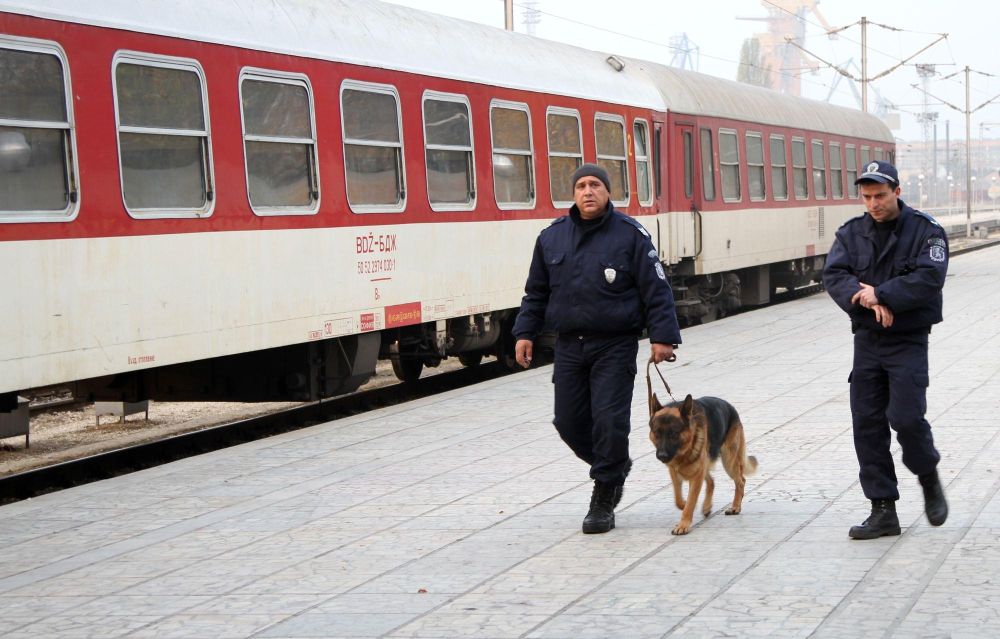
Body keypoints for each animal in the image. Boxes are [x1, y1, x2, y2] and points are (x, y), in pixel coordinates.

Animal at [648, 396, 756, 536]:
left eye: (673, 434)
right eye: (657, 433)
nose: (662, 455)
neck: (683, 452)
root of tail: (730, 406)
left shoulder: (696, 476)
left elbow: (690, 503)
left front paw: (683, 524)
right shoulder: (675, 472)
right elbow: (678, 499)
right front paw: (684, 505)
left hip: (729, 461)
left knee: (741, 481)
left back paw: (735, 507)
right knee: (712, 481)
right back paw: (706, 506)